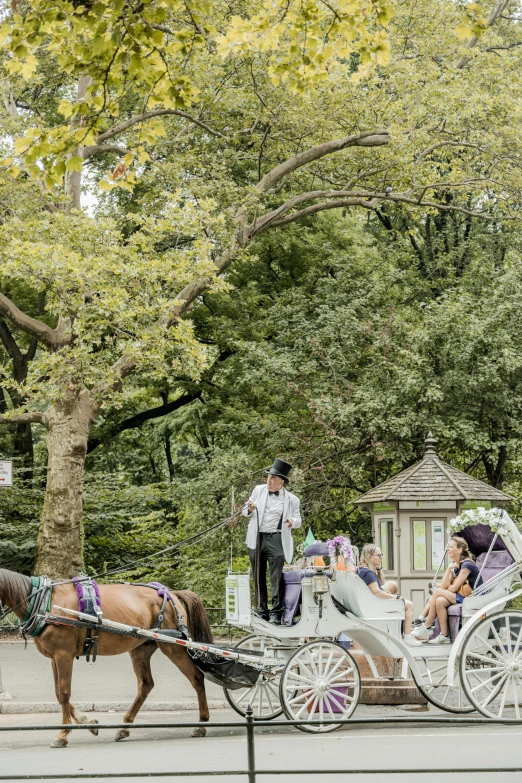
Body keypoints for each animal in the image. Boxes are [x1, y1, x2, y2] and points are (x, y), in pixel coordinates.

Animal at [0, 568, 211, 748]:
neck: (46, 602)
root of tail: (170, 593)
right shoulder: (54, 658)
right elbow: (59, 695)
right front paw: (88, 722)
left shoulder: (63, 655)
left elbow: (65, 693)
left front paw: (63, 734)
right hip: (140, 649)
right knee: (145, 685)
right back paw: (124, 727)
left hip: (173, 647)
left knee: (196, 678)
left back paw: (201, 724)